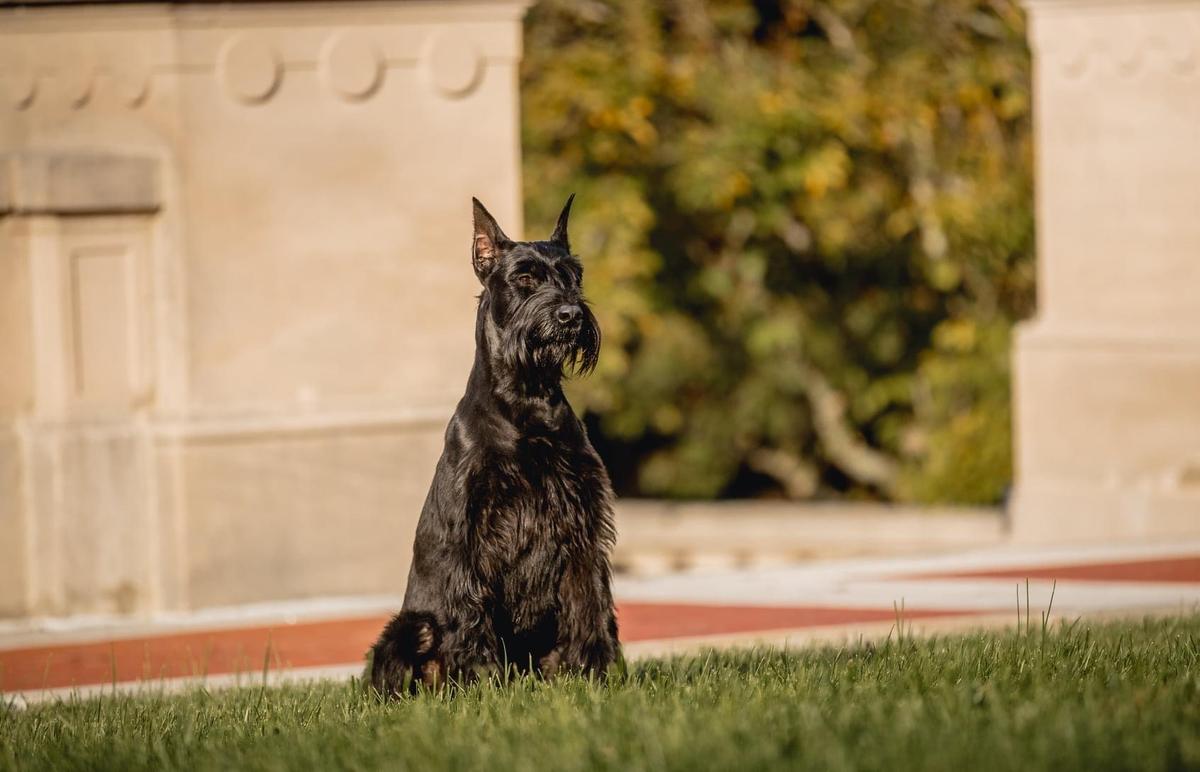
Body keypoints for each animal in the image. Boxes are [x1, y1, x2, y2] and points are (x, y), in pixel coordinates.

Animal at [367, 194, 624, 696]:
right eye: (524, 276)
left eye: (574, 275)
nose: (571, 315)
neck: (527, 401)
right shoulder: (469, 533)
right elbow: (471, 612)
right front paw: (483, 681)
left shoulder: (581, 522)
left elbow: (590, 601)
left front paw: (595, 673)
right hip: (414, 626)